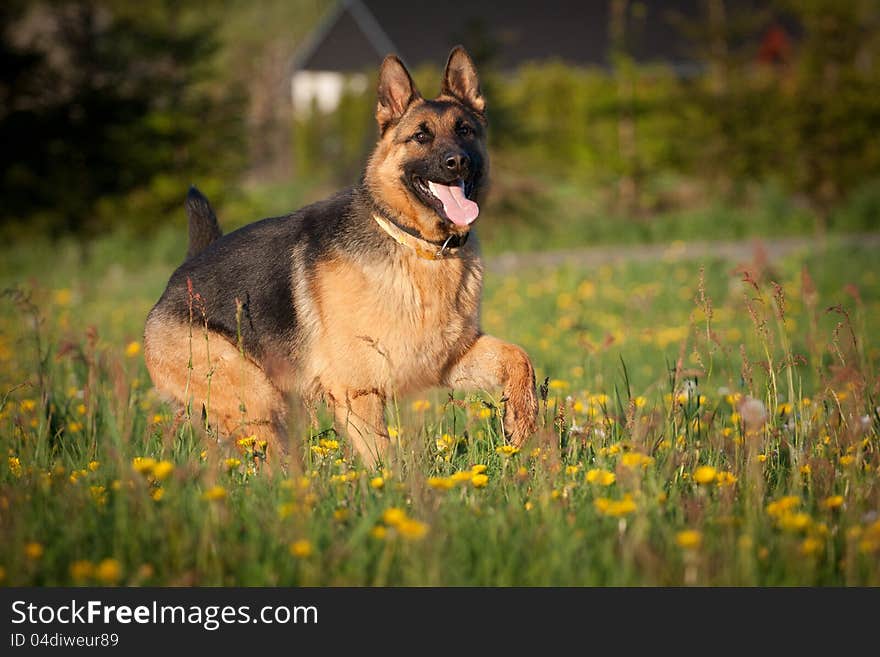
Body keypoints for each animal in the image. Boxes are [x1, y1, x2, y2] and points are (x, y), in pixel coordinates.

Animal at [144, 46, 536, 466]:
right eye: (420, 136)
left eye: (465, 131)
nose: (457, 161)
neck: (418, 246)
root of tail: (180, 275)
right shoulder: (357, 392)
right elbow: (384, 460)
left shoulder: (449, 359)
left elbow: (520, 358)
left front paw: (523, 425)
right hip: (258, 403)